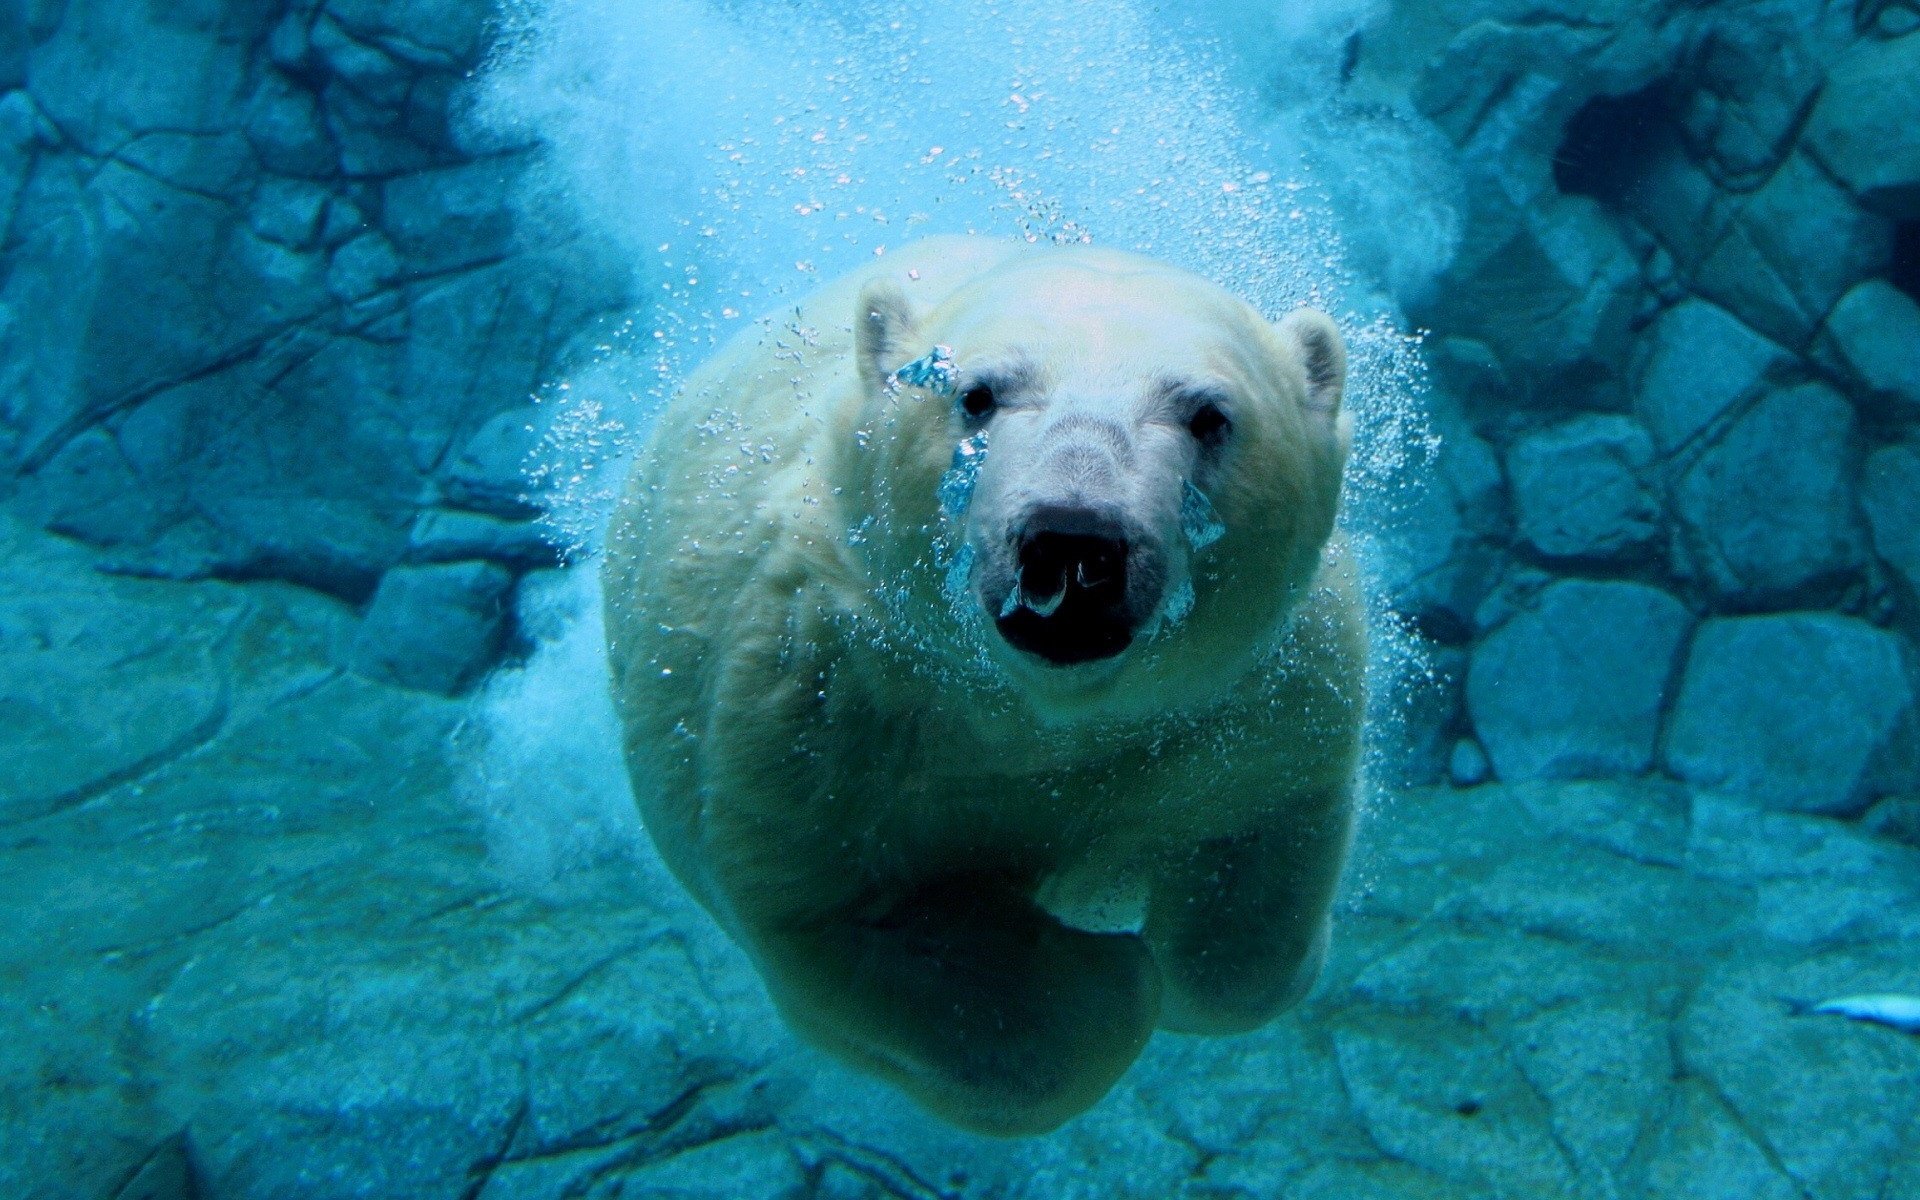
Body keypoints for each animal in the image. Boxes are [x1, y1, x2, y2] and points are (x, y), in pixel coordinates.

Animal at [602, 234, 1367, 1128]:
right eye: (975, 394)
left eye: (1210, 414)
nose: (1074, 541)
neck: (1037, 714)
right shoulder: (819, 701)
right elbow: (849, 919)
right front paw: (1108, 975)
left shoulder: (1254, 697)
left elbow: (1255, 871)